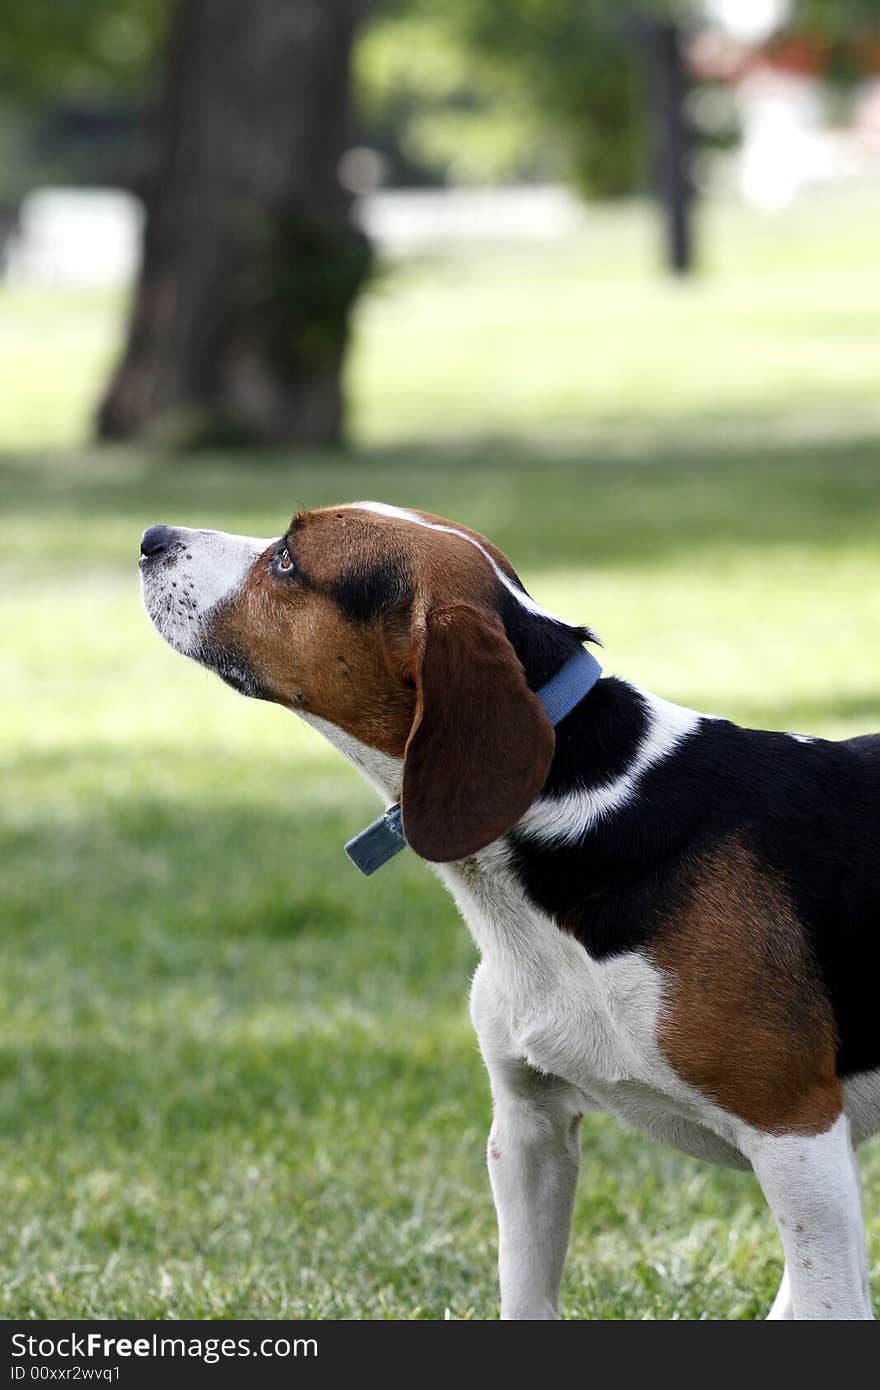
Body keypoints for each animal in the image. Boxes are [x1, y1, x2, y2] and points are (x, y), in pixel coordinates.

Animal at [137, 505, 873, 1317]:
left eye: (289, 561)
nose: (151, 539)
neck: (579, 805)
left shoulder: (796, 1138)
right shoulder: (528, 1127)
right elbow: (525, 1293)